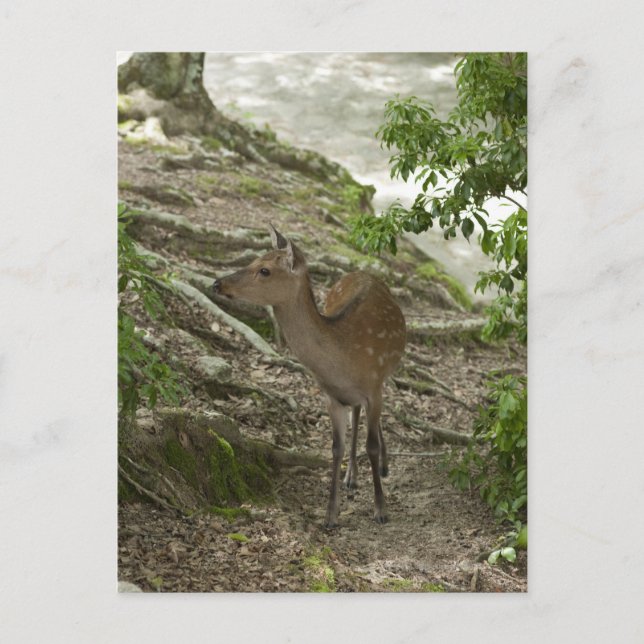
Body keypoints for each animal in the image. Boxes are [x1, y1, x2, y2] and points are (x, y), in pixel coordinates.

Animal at [212, 225, 406, 528]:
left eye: (265, 270)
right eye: (254, 259)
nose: (218, 284)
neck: (344, 357)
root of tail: (363, 272)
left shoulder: (374, 386)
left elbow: (371, 445)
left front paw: (381, 510)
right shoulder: (331, 395)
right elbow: (336, 448)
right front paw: (330, 515)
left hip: (384, 378)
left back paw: (381, 467)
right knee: (357, 413)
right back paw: (352, 477)